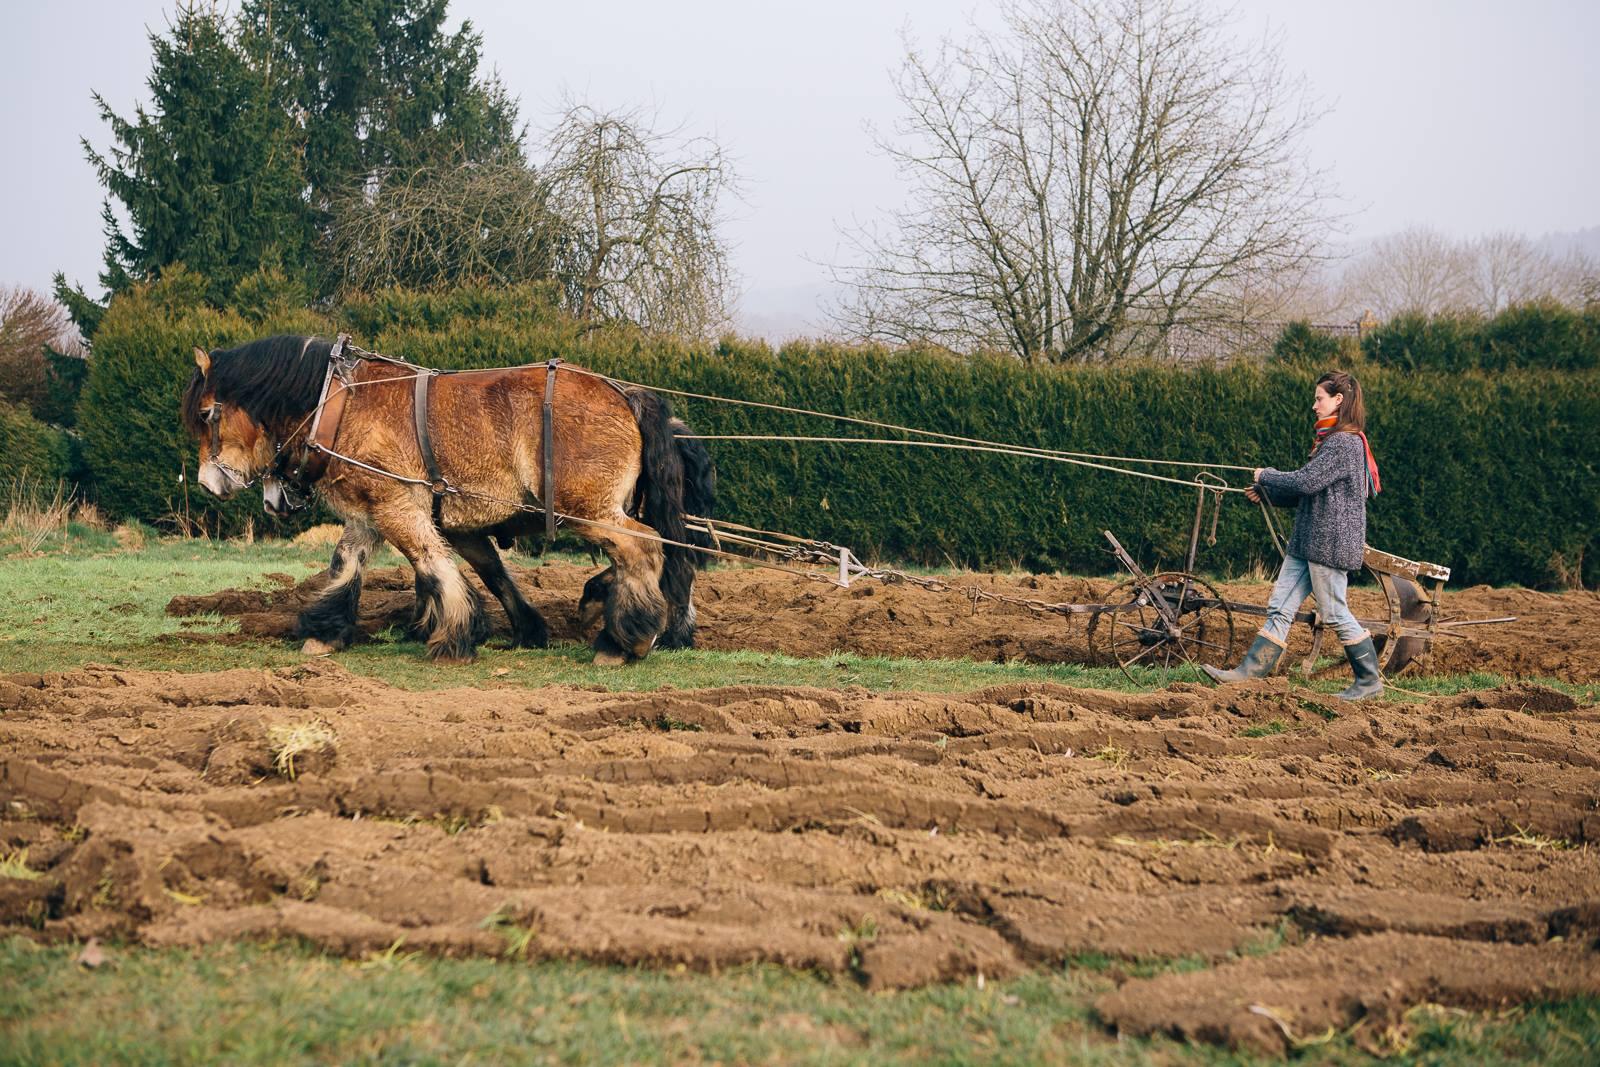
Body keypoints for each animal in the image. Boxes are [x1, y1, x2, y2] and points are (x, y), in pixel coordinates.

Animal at [184, 337, 710, 662]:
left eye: (207, 414)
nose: (207, 484)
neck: (344, 403)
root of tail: (625, 394)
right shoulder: (376, 512)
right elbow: (349, 565)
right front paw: (324, 631)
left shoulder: (398, 507)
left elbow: (432, 565)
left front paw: (454, 636)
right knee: (657, 558)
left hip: (589, 509)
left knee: (645, 549)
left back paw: (624, 641)